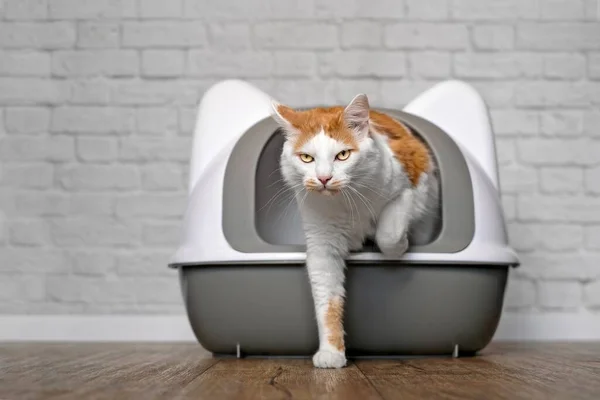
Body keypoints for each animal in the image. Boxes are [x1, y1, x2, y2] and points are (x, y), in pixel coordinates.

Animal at [270, 94, 438, 368]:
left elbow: (389, 235)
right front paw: (331, 353)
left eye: (343, 155)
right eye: (306, 158)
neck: (346, 201)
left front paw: (401, 245)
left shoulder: (412, 182)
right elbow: (327, 302)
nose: (324, 178)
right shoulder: (322, 245)